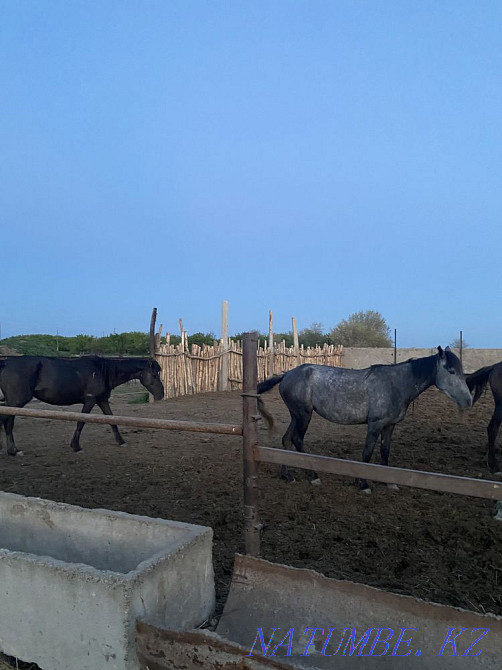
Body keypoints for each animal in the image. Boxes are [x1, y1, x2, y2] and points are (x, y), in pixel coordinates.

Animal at [0, 355, 164, 455]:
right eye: (154, 374)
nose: (161, 395)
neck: (103, 371)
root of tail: (6, 363)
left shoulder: (102, 400)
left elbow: (112, 421)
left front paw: (121, 441)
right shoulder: (90, 400)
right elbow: (81, 422)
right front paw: (76, 446)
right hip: (16, 402)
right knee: (8, 422)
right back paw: (13, 450)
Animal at [257, 346, 472, 492]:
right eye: (452, 371)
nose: (468, 401)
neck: (396, 384)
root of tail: (286, 374)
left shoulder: (389, 426)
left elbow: (385, 452)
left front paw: (390, 482)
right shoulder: (375, 424)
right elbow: (367, 453)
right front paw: (363, 483)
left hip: (296, 415)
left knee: (286, 440)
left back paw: (287, 475)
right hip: (304, 414)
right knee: (297, 440)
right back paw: (313, 476)